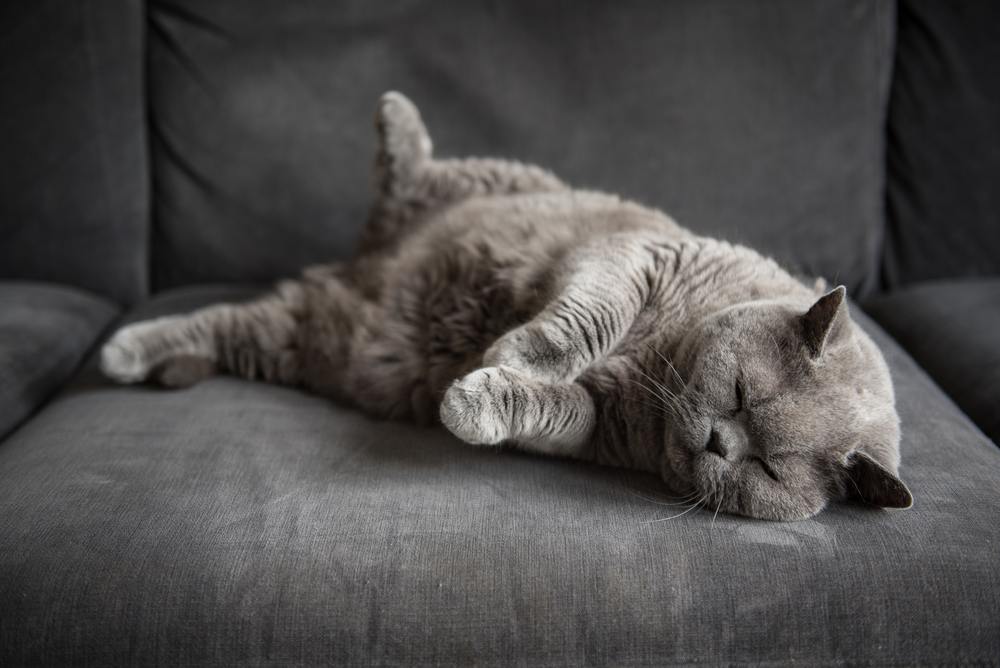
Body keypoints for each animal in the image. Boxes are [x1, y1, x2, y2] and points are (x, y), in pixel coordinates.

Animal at [103, 91, 916, 520]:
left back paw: (133, 352)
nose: (720, 441)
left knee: (220, 323)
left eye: (769, 472)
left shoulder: (593, 427)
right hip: (499, 178)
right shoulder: (631, 257)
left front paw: (477, 399)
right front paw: (512, 353)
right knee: (409, 172)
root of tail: (362, 261)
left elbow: (554, 407)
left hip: (293, 337)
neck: (655, 366)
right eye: (744, 394)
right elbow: (580, 324)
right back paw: (396, 118)